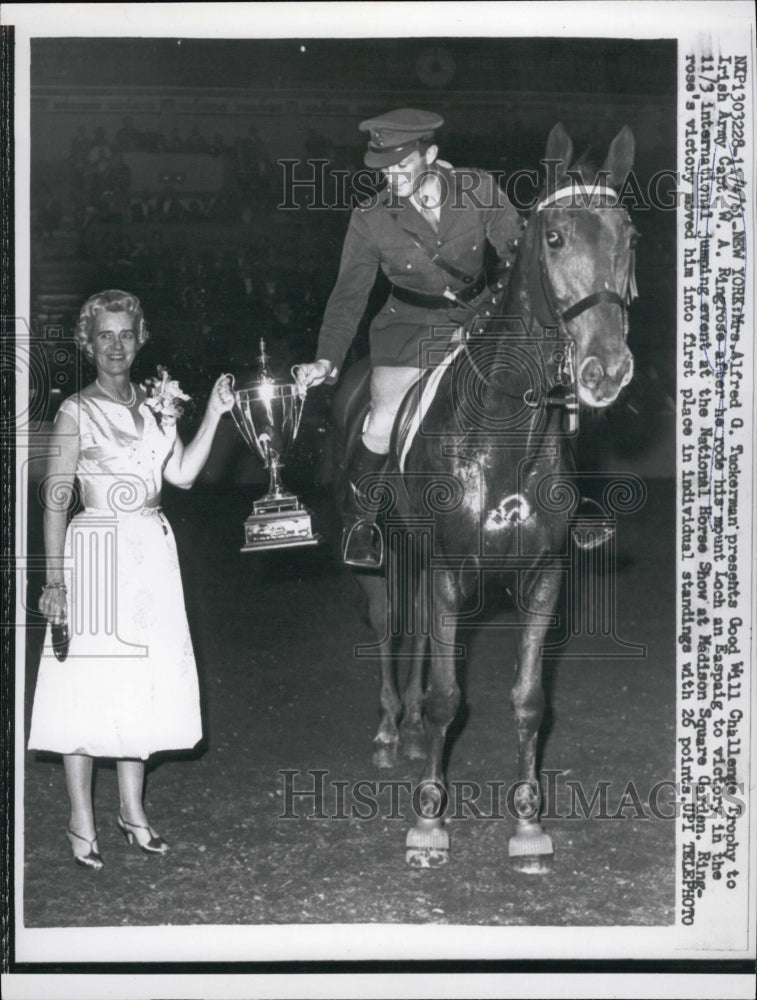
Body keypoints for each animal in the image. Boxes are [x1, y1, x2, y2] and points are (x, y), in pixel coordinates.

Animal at [330, 125, 636, 872]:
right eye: (553, 237)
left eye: (630, 236)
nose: (606, 370)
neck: (504, 427)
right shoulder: (448, 570)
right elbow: (448, 696)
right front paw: (428, 822)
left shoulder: (543, 575)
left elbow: (527, 701)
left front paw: (527, 828)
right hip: (382, 560)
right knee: (389, 627)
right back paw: (391, 731)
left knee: (415, 636)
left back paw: (409, 730)